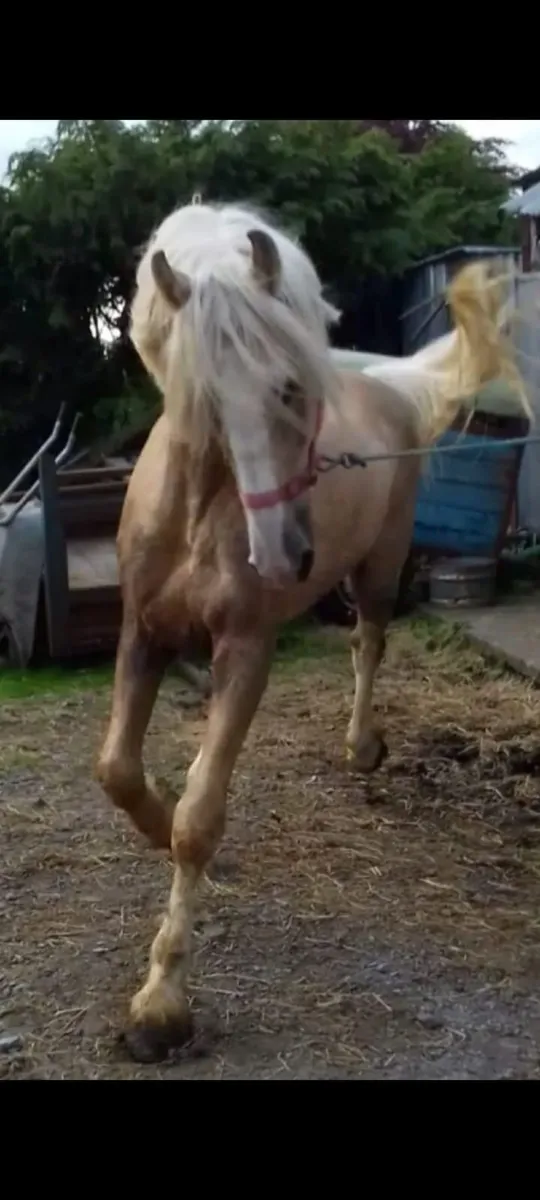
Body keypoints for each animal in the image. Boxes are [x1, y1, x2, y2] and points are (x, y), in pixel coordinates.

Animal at [96, 199, 529, 1061]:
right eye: (204, 403)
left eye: (291, 388)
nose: (282, 554)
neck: (199, 516)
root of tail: (390, 387)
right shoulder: (144, 634)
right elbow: (119, 771)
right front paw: (155, 824)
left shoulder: (246, 650)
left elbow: (201, 818)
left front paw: (162, 1002)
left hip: (381, 567)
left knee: (369, 644)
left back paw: (363, 747)